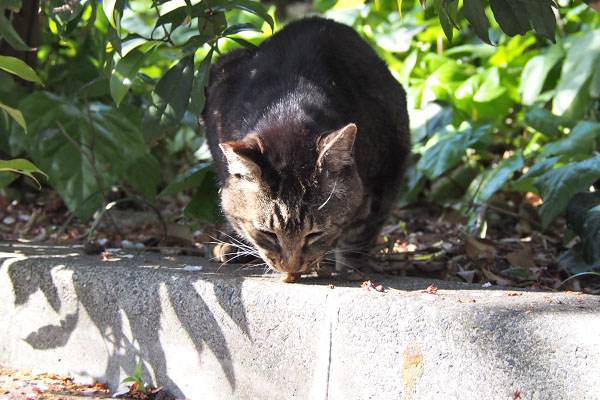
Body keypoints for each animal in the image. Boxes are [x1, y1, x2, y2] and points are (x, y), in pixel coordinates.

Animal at [200, 16, 408, 282]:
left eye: (315, 234)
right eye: (268, 233)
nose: (291, 266)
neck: (289, 106)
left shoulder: (386, 172)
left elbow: (360, 233)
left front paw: (350, 269)